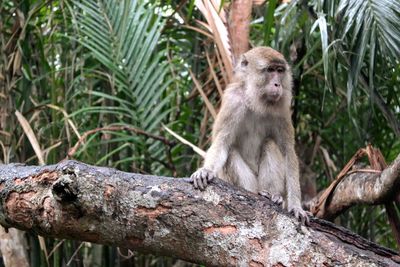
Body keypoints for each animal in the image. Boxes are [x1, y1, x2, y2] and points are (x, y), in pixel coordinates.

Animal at [191, 46, 310, 226]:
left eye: (280, 71)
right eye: (270, 70)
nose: (278, 84)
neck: (256, 99)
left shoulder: (282, 110)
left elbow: (288, 151)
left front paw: (296, 205)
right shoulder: (233, 102)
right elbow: (222, 142)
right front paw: (205, 170)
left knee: (270, 143)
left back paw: (273, 196)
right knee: (231, 152)